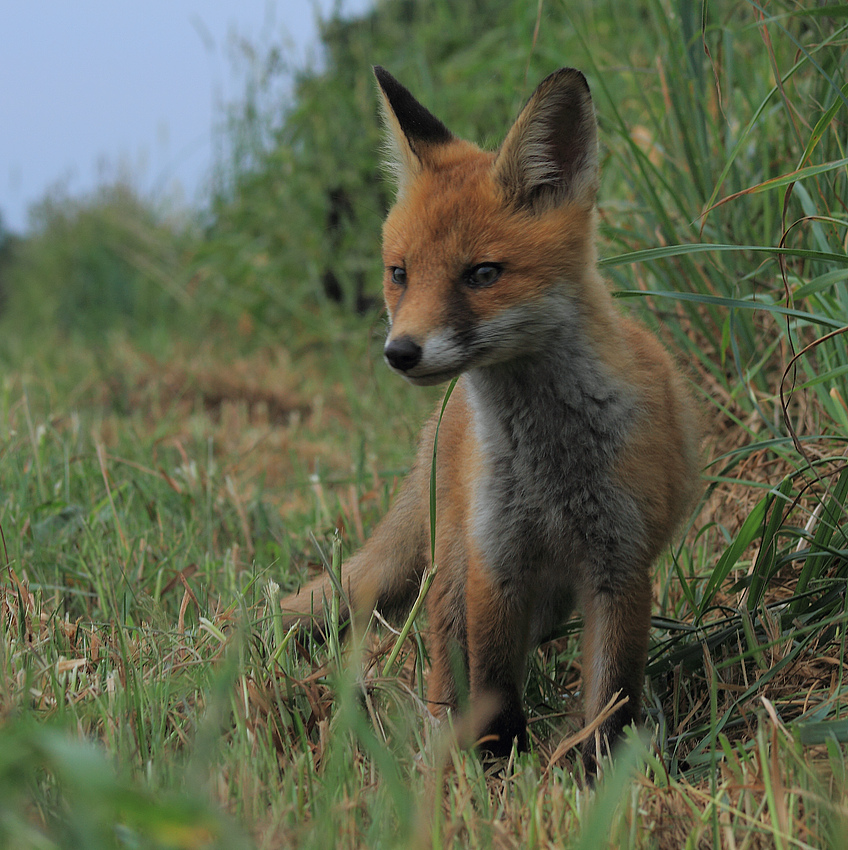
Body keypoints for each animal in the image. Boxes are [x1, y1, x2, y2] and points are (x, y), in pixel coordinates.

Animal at [282, 66, 700, 768]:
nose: (400, 352)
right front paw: (495, 766)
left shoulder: (620, 563)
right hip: (454, 562)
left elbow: (612, 694)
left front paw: (598, 768)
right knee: (444, 664)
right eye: (399, 274)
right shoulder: (495, 561)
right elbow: (496, 686)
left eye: (482, 274)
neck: (550, 467)